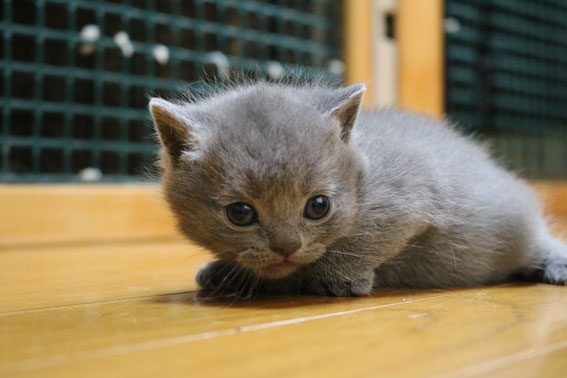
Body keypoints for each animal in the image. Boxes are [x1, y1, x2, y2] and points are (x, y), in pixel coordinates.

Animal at [148, 81, 567, 296]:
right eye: (240, 213)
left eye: (318, 206)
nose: (286, 247)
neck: (362, 172)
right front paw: (229, 272)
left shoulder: (410, 196)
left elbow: (367, 237)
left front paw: (339, 278)